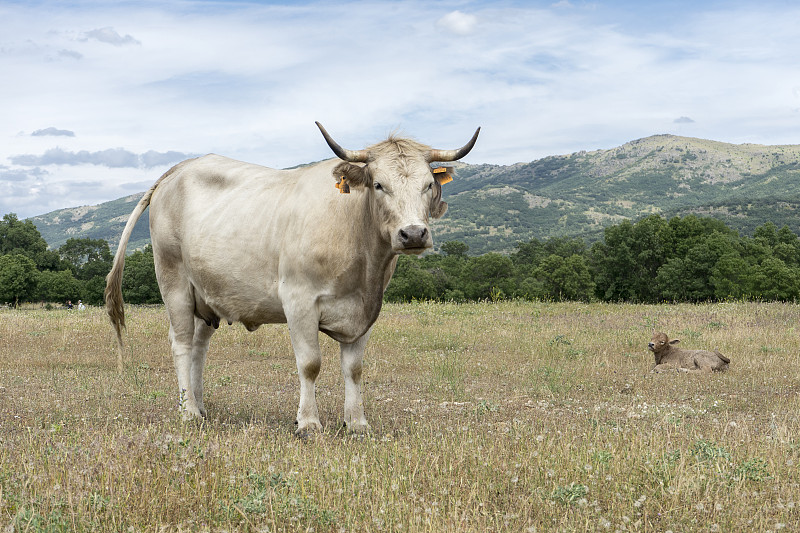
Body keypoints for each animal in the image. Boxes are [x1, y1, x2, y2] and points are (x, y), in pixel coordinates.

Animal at [106, 122, 482, 434]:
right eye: (379, 184)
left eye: (428, 185)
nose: (413, 234)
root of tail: (180, 168)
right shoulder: (299, 301)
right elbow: (310, 364)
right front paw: (309, 422)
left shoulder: (366, 310)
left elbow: (354, 368)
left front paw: (356, 423)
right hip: (174, 283)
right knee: (182, 343)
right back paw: (188, 414)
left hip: (207, 294)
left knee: (199, 346)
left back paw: (200, 407)